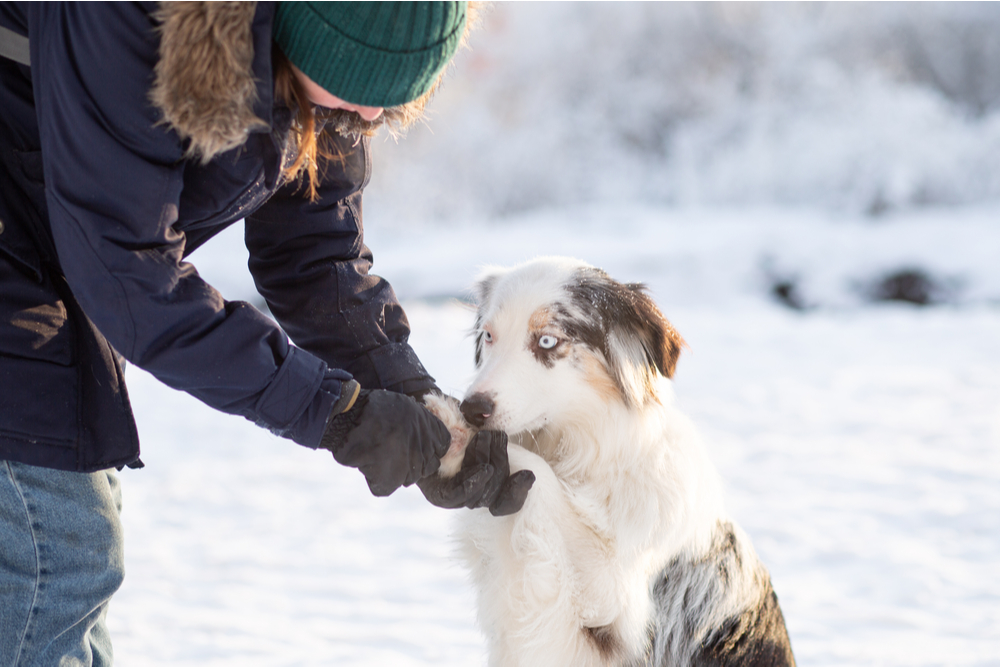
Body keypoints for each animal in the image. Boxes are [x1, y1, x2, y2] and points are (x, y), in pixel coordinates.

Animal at [424, 258, 796, 667]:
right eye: (489, 336)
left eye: (547, 341)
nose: (472, 409)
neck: (585, 457)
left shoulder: (608, 598)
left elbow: (542, 476)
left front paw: (458, 432)